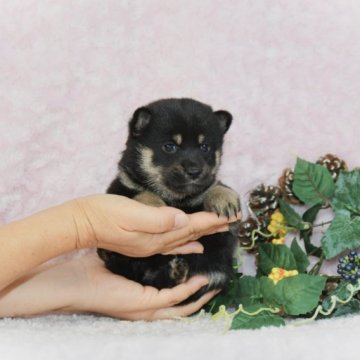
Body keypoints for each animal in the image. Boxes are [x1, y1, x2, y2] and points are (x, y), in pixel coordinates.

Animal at [97, 97, 240, 302]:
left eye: (205, 147)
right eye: (169, 147)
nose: (194, 171)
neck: (176, 199)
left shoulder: (223, 234)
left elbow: (214, 186)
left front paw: (223, 197)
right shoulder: (120, 189)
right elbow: (142, 193)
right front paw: (153, 205)